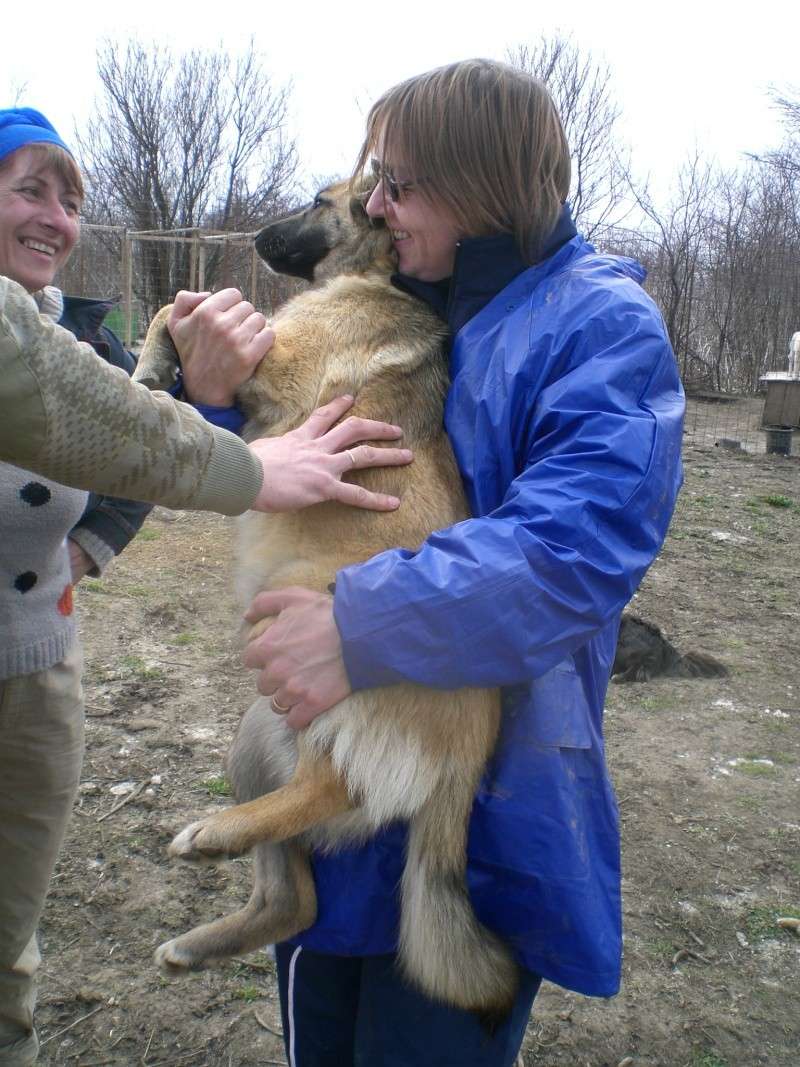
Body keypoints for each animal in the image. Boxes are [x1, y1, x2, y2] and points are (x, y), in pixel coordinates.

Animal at [133, 181, 520, 1015]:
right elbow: (183, 302)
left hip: (301, 607)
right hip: (258, 731)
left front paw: (150, 365)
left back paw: (213, 833)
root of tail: (472, 748)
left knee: (334, 783)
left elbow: (181, 300)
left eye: (319, 199)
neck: (370, 274)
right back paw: (209, 918)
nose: (252, 234)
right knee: (295, 899)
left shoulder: (283, 359)